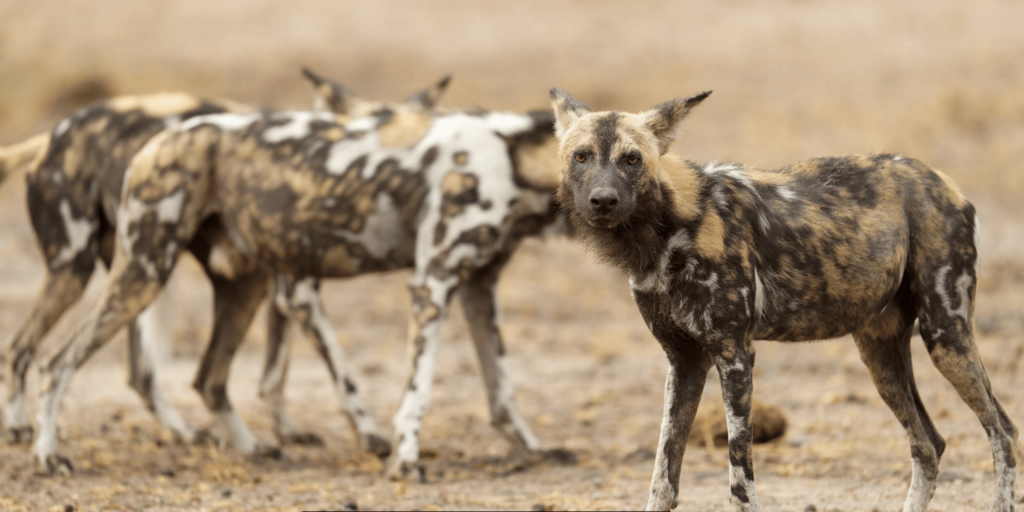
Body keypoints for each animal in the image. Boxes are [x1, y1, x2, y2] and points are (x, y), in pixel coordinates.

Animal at [29, 90, 569, 477]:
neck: (514, 158)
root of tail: (158, 139)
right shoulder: (432, 285)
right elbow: (417, 393)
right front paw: (405, 461)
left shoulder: (480, 288)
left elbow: (502, 389)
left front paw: (533, 448)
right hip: (144, 272)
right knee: (54, 365)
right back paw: (47, 455)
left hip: (241, 286)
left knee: (208, 376)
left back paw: (253, 449)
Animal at [552, 89, 1015, 512]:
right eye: (581, 157)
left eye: (632, 160)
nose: (603, 200)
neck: (666, 231)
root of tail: (942, 180)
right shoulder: (685, 362)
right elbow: (663, 480)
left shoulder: (735, 357)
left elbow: (740, 482)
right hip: (879, 355)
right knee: (928, 444)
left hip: (945, 336)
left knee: (1003, 433)